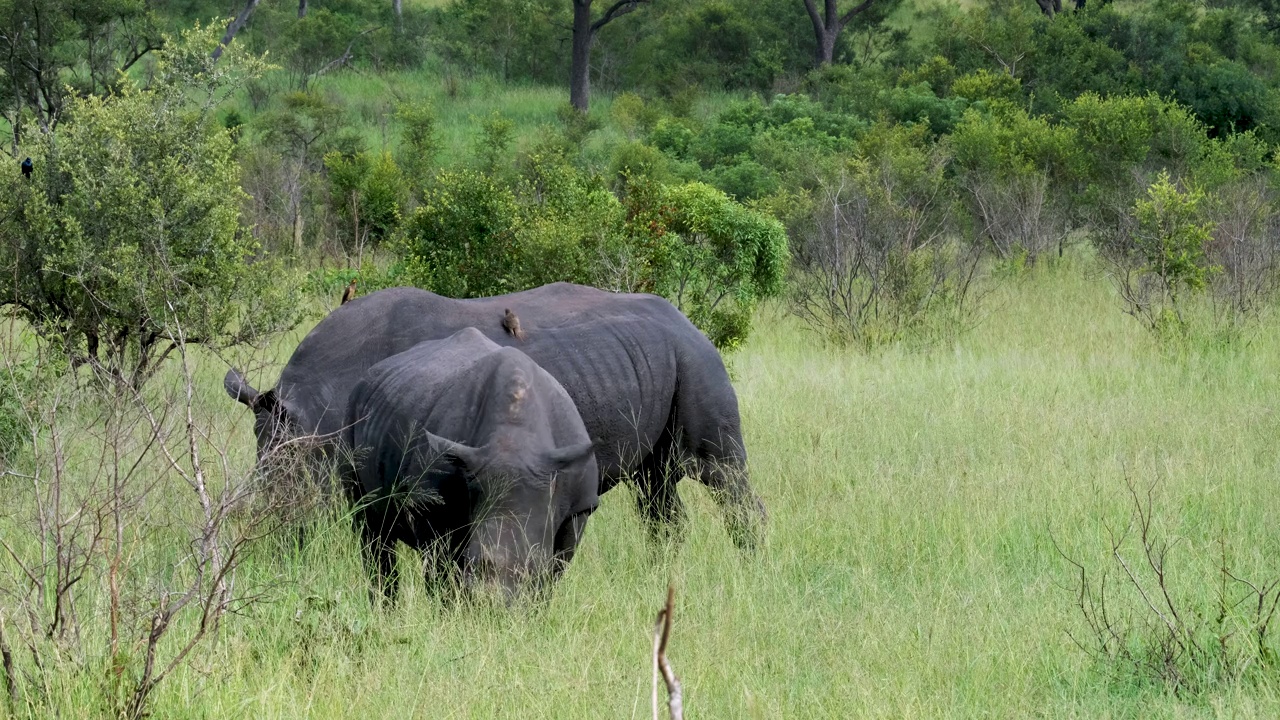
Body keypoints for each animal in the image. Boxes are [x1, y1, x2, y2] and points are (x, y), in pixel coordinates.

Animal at [225, 280, 762, 543]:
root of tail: (688, 321)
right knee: (656, 485)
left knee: (721, 471)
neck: (320, 398)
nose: (264, 532)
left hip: (696, 359)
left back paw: (750, 561)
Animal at [343, 327, 596, 597]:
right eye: (471, 562)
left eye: (533, 569)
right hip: (353, 410)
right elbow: (440, 573)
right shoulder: (430, 502)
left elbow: (555, 571)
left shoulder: (579, 507)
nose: (494, 604)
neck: (515, 436)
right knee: (370, 526)